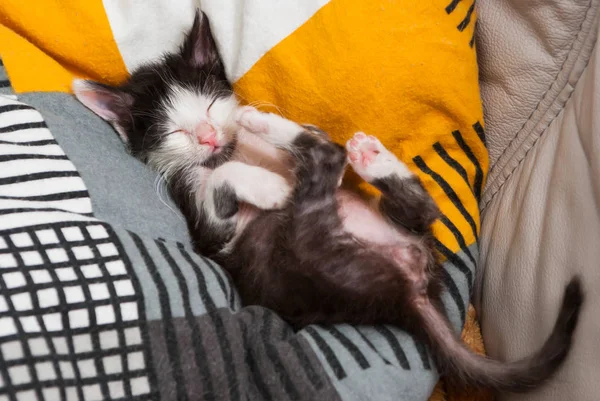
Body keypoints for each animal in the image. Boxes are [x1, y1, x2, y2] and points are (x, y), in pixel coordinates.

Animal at [72, 10, 584, 392]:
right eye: (173, 132)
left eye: (211, 106)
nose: (210, 136)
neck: (230, 152)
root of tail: (407, 292)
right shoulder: (208, 228)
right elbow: (224, 183)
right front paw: (268, 185)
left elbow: (296, 141)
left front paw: (261, 130)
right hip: (309, 245)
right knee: (328, 163)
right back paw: (298, 141)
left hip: (394, 227)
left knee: (416, 206)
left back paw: (353, 153)